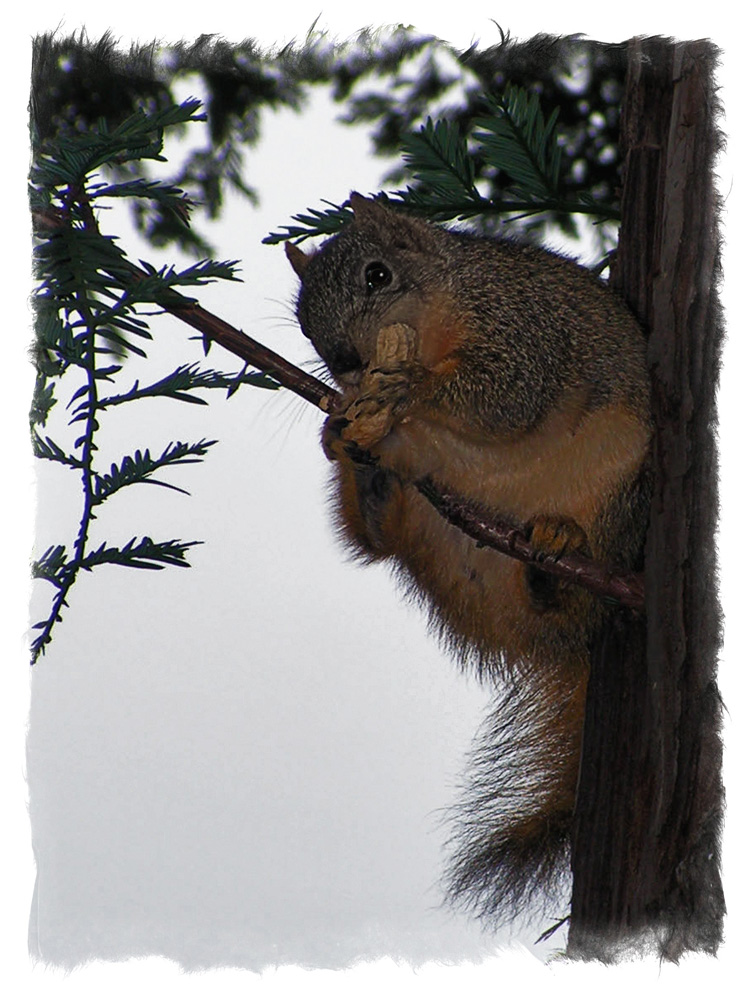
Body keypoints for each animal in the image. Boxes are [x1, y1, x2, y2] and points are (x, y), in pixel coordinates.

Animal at [284, 195, 656, 928]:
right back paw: (368, 481)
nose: (345, 361)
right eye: (303, 320)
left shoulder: (523, 326)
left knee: (583, 603)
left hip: (617, 499)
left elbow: (506, 395)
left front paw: (406, 388)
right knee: (376, 541)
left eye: (377, 275)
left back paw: (558, 558)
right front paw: (342, 426)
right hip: (431, 528)